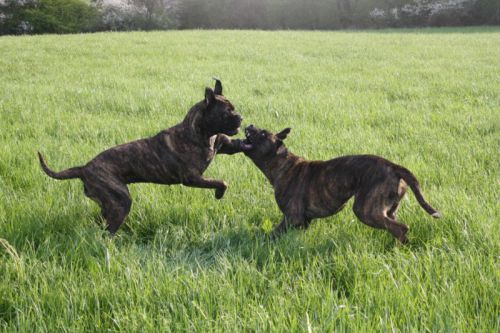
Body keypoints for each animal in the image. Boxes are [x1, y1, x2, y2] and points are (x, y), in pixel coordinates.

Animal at [37, 79, 252, 232]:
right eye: (226, 112)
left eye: (234, 108)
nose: (240, 117)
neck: (201, 133)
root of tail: (84, 168)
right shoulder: (192, 178)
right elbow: (221, 182)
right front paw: (219, 193)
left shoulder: (224, 145)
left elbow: (235, 146)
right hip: (120, 201)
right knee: (108, 229)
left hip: (108, 203)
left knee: (101, 221)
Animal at [244, 124, 440, 241]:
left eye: (263, 133)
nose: (250, 125)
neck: (282, 163)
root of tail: (393, 166)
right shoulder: (303, 221)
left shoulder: (292, 218)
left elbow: (273, 234)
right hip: (388, 210)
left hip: (365, 210)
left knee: (401, 229)